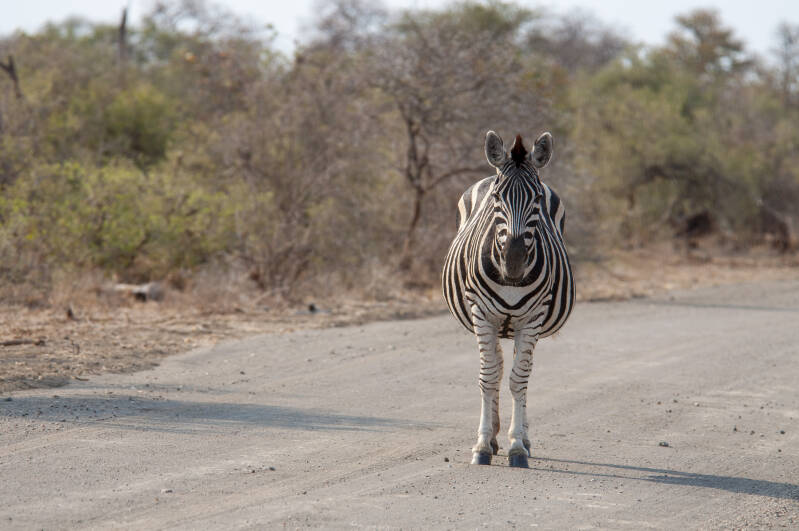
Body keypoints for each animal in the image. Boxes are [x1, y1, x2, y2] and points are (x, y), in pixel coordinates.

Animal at [441, 130, 575, 468]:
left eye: (537, 199)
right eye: (497, 198)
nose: (513, 264)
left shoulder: (532, 317)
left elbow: (519, 379)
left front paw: (517, 446)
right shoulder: (481, 313)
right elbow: (489, 377)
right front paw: (482, 445)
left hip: (523, 325)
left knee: (520, 370)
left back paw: (522, 438)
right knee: (497, 367)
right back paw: (492, 437)